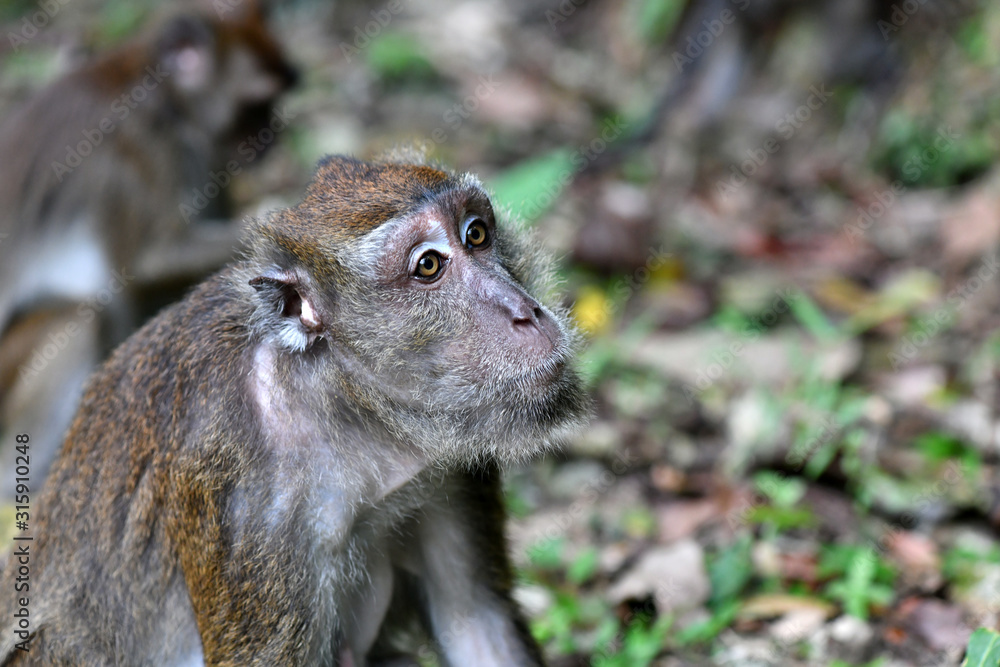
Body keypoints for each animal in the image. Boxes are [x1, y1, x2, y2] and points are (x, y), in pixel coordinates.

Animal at [0, 0, 298, 496]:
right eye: (256, 104)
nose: (272, 135)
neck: (168, 102)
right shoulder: (136, 156)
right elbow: (149, 262)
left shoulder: (203, 159)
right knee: (81, 316)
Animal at [0, 154, 589, 666]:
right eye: (428, 266)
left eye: (477, 235)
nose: (526, 313)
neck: (339, 401)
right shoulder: (250, 511)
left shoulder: (446, 467)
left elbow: (475, 625)